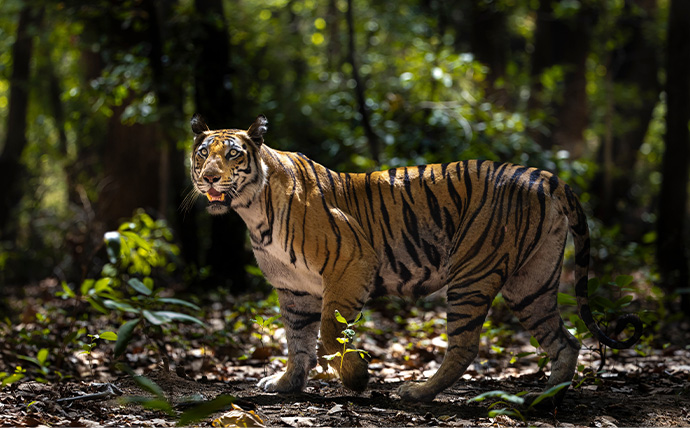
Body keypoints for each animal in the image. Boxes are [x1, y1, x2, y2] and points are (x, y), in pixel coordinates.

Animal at [187, 113, 640, 404]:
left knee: (465, 345)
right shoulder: (293, 288)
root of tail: (542, 175)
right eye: (203, 154)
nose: (208, 178)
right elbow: (298, 341)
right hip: (532, 282)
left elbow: (329, 336)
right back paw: (547, 398)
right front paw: (286, 384)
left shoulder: (351, 264)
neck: (251, 210)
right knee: (566, 341)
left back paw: (418, 392)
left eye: (233, 155)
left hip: (471, 274)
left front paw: (357, 378)